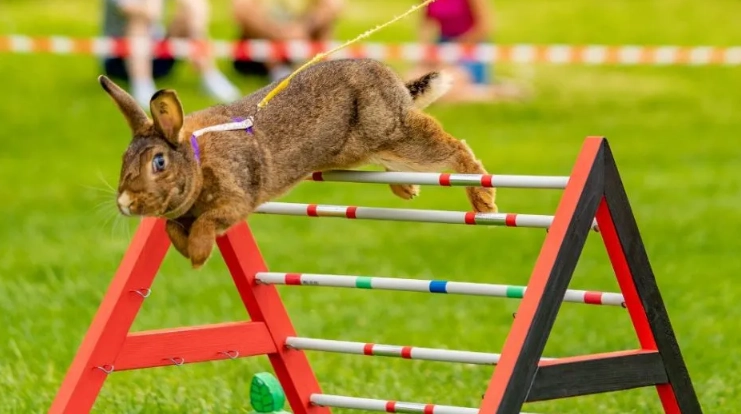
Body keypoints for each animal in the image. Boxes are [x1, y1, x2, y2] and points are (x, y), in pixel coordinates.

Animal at [100, 57, 497, 269]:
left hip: (391, 131)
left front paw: (198, 255)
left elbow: (208, 223)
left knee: (452, 149)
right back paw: (407, 188)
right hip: (374, 147)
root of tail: (393, 81)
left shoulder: (235, 199)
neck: (196, 158)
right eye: (124, 159)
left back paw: (483, 200)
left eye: (159, 163)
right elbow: (170, 228)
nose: (124, 202)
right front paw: (191, 254)